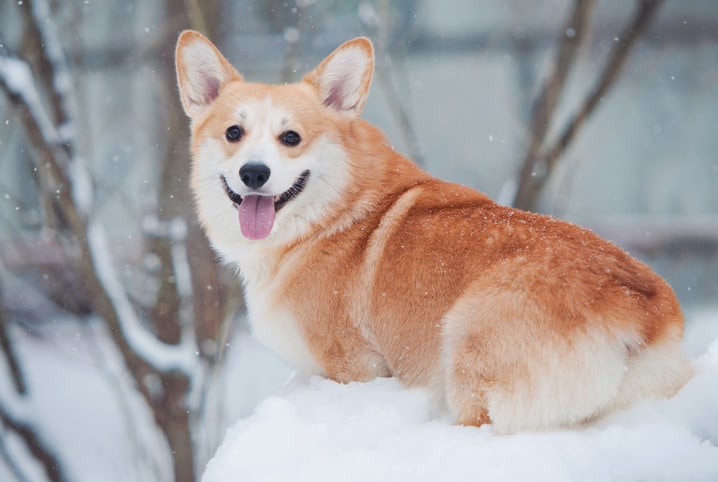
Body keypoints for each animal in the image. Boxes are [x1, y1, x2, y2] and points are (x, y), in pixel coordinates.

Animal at [174, 31, 692, 434]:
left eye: (291, 138)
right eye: (234, 133)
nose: (253, 173)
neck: (330, 214)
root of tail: (640, 309)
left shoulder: (354, 367)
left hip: (468, 341)